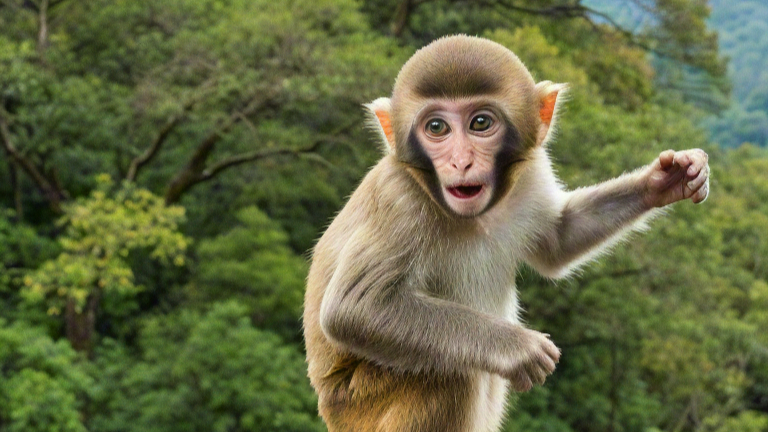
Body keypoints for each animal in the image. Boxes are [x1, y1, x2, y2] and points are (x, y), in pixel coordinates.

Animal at [303, 35, 710, 432]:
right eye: (436, 128)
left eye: (481, 123)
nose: (460, 162)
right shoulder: (398, 200)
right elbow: (354, 309)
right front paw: (517, 347)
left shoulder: (532, 170)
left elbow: (558, 240)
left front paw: (665, 180)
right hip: (360, 401)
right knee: (451, 374)